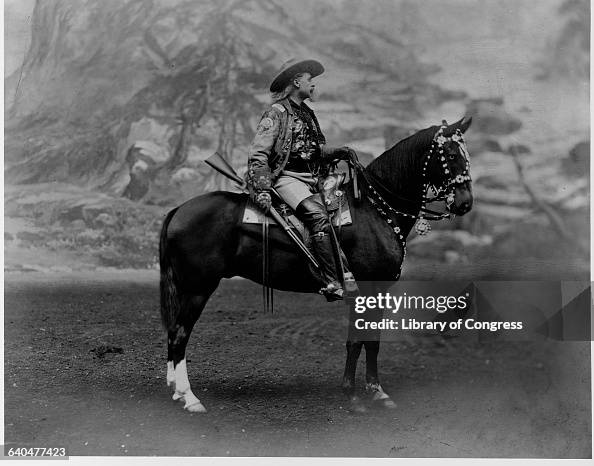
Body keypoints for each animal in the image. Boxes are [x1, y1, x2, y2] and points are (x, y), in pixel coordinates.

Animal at [157, 115, 472, 412]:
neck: (375, 209)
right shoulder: (367, 291)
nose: (465, 203)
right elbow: (358, 341)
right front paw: (353, 394)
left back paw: (176, 390)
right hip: (198, 289)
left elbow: (371, 341)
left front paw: (376, 391)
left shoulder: (376, 293)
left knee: (173, 332)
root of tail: (178, 210)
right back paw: (190, 397)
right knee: (180, 335)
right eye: (451, 155)